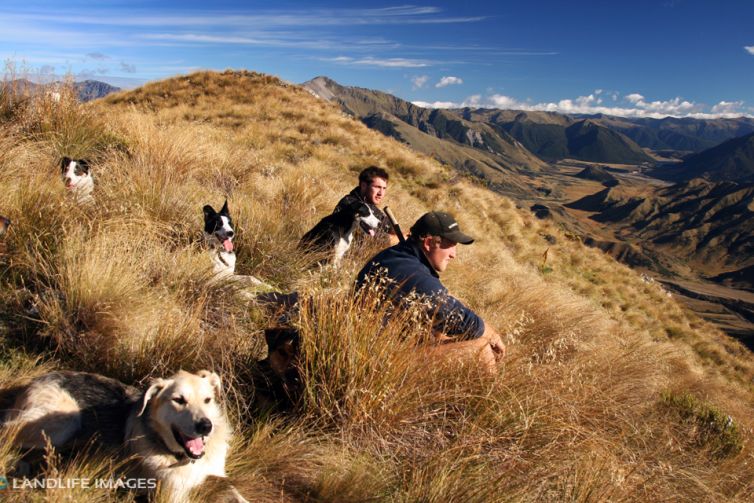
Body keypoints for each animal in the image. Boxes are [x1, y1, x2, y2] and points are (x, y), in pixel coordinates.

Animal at [0, 368, 247, 502]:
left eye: (208, 400)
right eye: (179, 400)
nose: (206, 426)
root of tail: (38, 378)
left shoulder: (216, 476)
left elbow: (237, 494)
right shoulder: (172, 495)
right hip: (65, 422)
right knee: (7, 433)